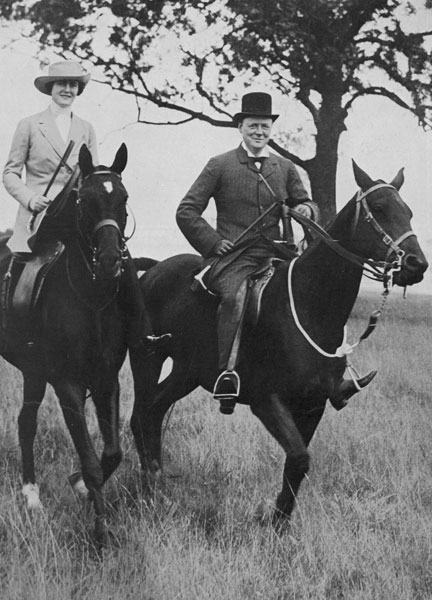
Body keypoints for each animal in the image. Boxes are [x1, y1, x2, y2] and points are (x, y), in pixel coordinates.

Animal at [0, 143, 131, 548]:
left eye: (123, 198)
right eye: (84, 199)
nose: (110, 260)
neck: (90, 299)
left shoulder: (106, 381)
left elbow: (113, 452)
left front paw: (80, 489)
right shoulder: (67, 385)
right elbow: (90, 461)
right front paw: (100, 534)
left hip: (32, 371)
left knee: (26, 422)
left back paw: (31, 495)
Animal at [128, 162, 428, 524]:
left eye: (408, 211)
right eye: (381, 208)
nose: (416, 264)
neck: (310, 306)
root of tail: (153, 270)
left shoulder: (313, 404)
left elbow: (296, 465)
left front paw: (279, 526)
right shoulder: (267, 400)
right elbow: (298, 458)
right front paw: (272, 522)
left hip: (186, 372)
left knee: (155, 411)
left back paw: (156, 482)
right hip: (147, 359)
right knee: (140, 415)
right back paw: (148, 489)